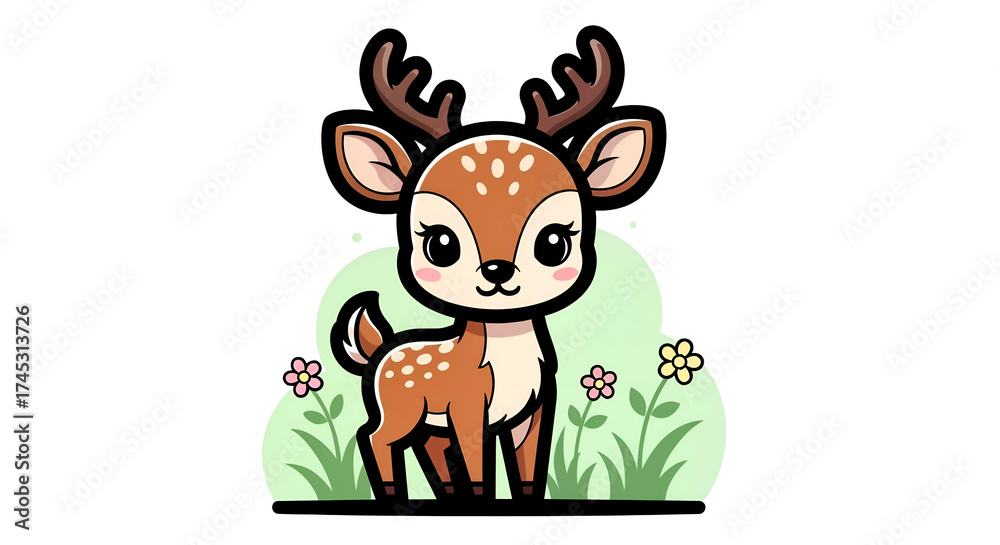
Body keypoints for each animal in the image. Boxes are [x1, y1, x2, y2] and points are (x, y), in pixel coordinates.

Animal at [323, 26, 665, 502]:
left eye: (554, 242)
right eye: (440, 243)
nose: (497, 271)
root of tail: (379, 351)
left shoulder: (531, 412)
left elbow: (526, 470)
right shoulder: (467, 407)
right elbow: (478, 467)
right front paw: (482, 502)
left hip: (426, 422)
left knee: (426, 449)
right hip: (402, 410)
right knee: (374, 436)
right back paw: (393, 497)